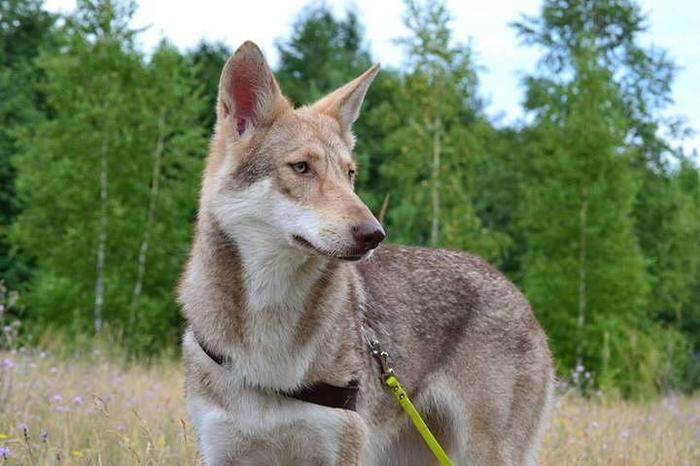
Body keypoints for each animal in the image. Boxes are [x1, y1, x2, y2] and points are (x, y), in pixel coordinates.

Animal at [176, 41, 552, 464]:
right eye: (301, 167)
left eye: (349, 173)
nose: (374, 234)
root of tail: (513, 289)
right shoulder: (220, 452)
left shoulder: (340, 452)